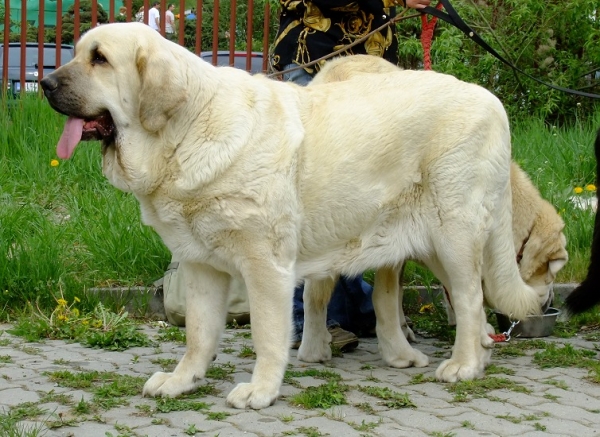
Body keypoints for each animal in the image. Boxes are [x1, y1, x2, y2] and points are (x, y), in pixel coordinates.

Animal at [41, 22, 548, 408]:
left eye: (100, 59)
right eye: (79, 54)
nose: (44, 82)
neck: (184, 132)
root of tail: (492, 101)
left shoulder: (266, 267)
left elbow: (267, 335)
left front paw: (261, 391)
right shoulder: (203, 266)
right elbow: (200, 335)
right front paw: (183, 380)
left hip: (454, 234)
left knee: (470, 299)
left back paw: (463, 365)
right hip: (436, 245)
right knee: (472, 302)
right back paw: (479, 355)